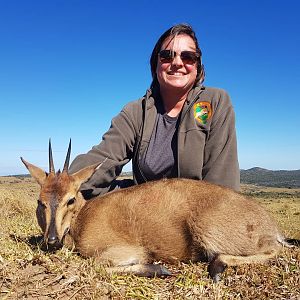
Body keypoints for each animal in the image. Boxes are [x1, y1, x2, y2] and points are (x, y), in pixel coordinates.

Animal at [21, 141, 290, 282]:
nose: (51, 240)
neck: (83, 217)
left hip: (210, 232)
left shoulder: (127, 251)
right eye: (40, 201)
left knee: (273, 250)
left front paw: (159, 268)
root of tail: (271, 226)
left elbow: (97, 266)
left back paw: (217, 267)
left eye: (70, 199)